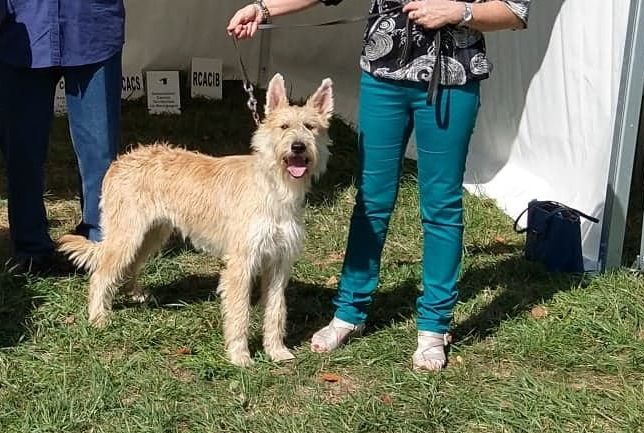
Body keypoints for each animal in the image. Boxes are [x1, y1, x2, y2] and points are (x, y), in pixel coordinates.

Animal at [56, 73, 332, 364]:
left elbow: (276, 310)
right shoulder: (241, 264)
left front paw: (277, 350)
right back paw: (99, 317)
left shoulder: (279, 264)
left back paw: (135, 294)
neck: (274, 187)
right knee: (100, 275)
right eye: (283, 126)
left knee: (128, 266)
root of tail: (119, 161)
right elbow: (239, 313)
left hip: (150, 236)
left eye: (311, 127)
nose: (298, 147)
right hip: (127, 236)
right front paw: (240, 356)